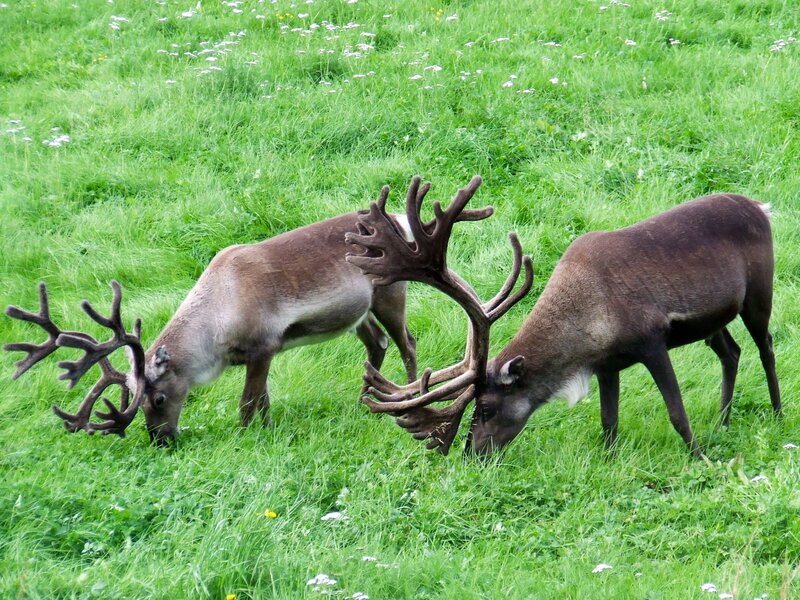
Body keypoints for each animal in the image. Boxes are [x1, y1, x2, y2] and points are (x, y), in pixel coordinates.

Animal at [4, 212, 424, 445]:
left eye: (159, 399)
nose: (160, 440)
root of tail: (399, 221)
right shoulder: (256, 356)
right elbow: (264, 399)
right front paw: (268, 430)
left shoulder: (264, 346)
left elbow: (248, 402)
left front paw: (247, 436)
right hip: (360, 313)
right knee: (378, 344)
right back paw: (363, 401)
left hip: (390, 294)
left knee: (407, 343)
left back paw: (408, 396)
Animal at [345, 176, 781, 458]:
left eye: (485, 408)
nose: (472, 453)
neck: (588, 324)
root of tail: (762, 207)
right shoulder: (608, 364)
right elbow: (608, 420)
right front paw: (608, 461)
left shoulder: (651, 342)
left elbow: (676, 412)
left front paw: (699, 458)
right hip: (714, 320)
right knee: (730, 352)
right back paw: (723, 421)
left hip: (759, 294)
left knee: (766, 348)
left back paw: (777, 414)